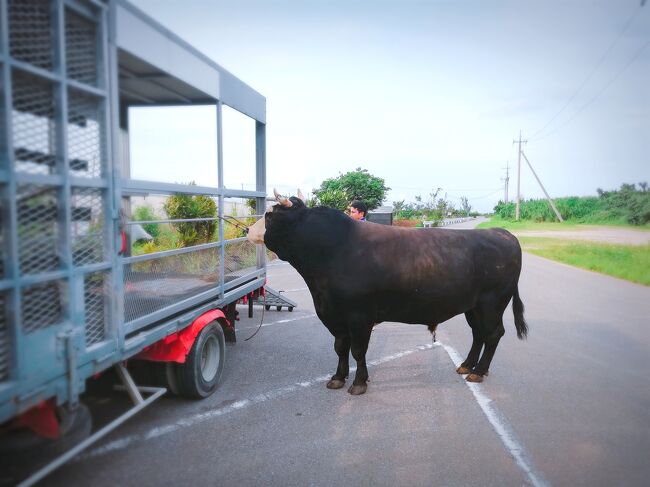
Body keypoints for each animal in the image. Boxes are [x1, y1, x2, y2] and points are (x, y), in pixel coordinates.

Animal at [246, 197, 524, 396]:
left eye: (270, 215)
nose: (247, 229)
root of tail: (502, 233)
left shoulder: (359, 316)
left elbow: (358, 350)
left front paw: (359, 383)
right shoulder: (334, 315)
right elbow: (340, 348)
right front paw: (338, 378)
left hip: (492, 303)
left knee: (493, 334)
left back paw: (479, 371)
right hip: (473, 306)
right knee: (479, 334)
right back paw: (467, 365)